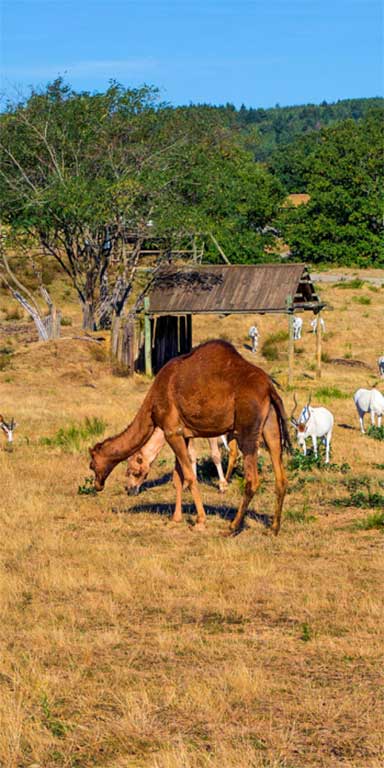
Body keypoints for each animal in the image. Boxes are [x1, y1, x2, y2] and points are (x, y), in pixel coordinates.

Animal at [90, 340, 292, 536]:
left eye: (92, 464)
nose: (97, 485)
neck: (151, 407)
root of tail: (269, 388)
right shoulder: (182, 434)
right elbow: (177, 478)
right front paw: (176, 518)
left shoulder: (171, 431)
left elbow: (190, 476)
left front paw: (200, 522)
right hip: (271, 425)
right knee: (281, 475)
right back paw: (273, 528)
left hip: (248, 428)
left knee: (252, 479)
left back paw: (232, 527)